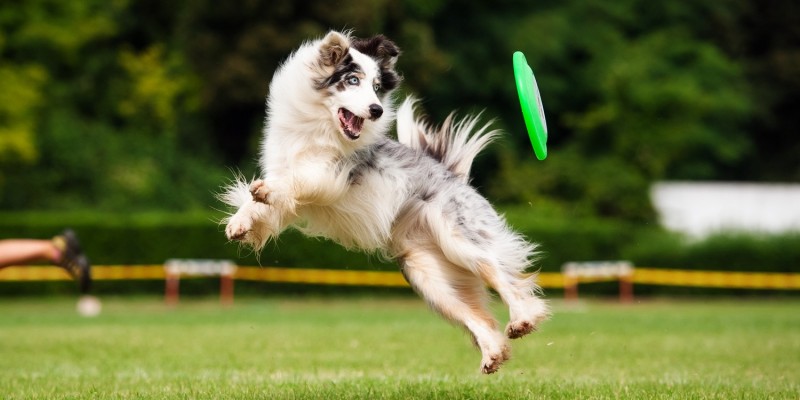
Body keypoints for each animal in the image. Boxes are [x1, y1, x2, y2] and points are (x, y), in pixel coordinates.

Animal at [225, 31, 552, 376]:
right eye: (353, 80)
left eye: (377, 86)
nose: (377, 110)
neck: (317, 126)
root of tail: (453, 175)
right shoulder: (289, 183)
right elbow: (263, 203)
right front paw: (240, 222)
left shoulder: (333, 173)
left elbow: (297, 179)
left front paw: (266, 191)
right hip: (428, 275)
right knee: (475, 315)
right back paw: (492, 353)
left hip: (460, 239)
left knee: (501, 274)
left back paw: (523, 318)